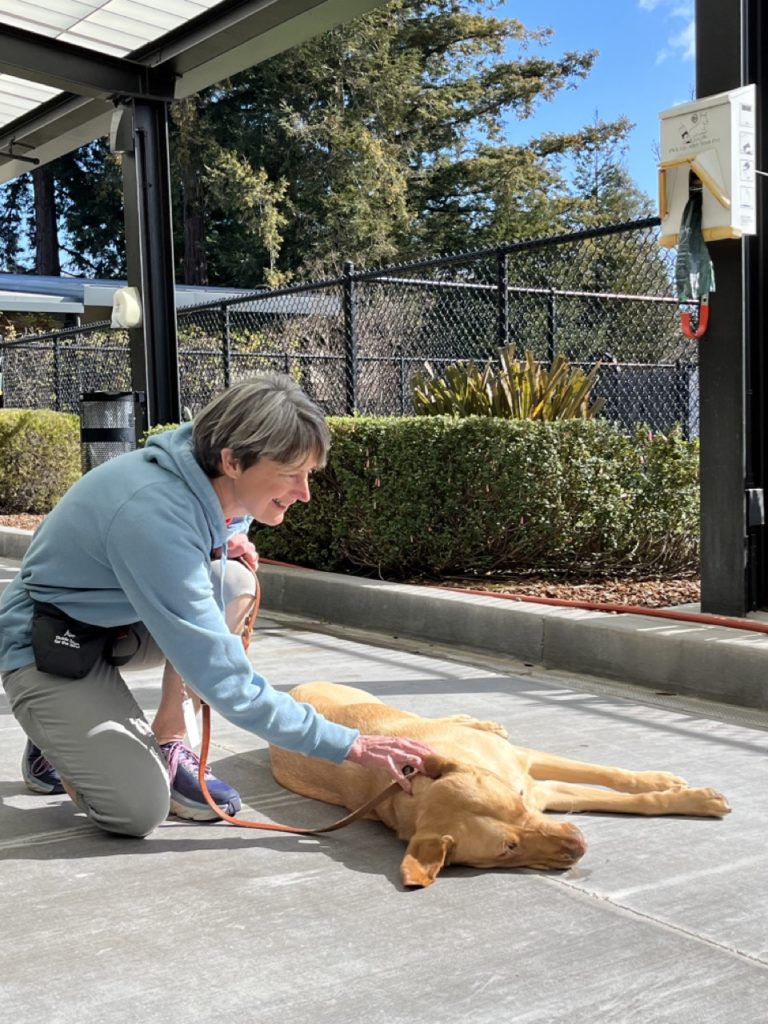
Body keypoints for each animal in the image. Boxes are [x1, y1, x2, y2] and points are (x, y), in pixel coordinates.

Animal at [270, 679, 733, 888]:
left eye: (519, 802)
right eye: (507, 849)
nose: (579, 845)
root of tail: (295, 689)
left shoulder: (528, 769)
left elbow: (608, 775)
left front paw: (671, 785)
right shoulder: (547, 792)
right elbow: (621, 798)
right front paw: (690, 798)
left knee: (437, 717)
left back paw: (479, 721)